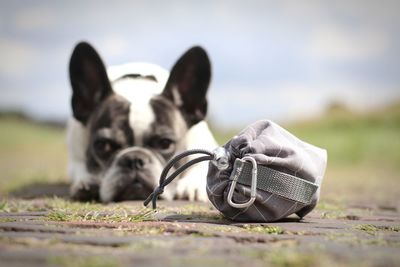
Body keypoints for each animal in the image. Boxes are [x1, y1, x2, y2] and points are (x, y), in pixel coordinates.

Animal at [66, 42, 217, 203]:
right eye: (103, 145)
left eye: (165, 143)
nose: (134, 160)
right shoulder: (74, 154)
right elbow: (79, 166)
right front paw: (87, 182)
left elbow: (201, 163)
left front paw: (192, 185)